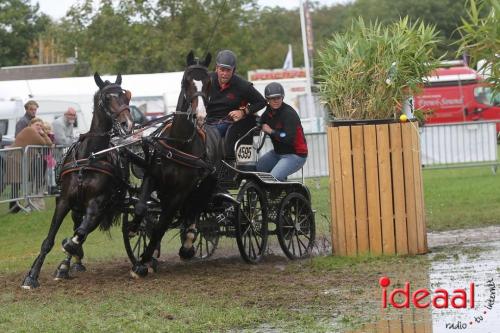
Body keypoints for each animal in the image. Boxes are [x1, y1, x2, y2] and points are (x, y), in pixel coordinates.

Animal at [21, 72, 133, 288]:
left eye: (125, 96)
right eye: (107, 98)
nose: (128, 124)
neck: (90, 156)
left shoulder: (96, 203)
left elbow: (80, 234)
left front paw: (69, 249)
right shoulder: (64, 201)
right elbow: (49, 240)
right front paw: (32, 276)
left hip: (100, 207)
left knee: (83, 230)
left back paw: (68, 262)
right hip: (76, 208)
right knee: (77, 226)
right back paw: (69, 264)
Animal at [129, 51, 223, 274]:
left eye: (208, 82)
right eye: (186, 81)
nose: (200, 115)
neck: (178, 144)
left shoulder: (180, 193)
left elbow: (163, 224)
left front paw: (144, 260)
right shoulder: (152, 177)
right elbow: (141, 207)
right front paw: (135, 229)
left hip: (205, 185)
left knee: (195, 211)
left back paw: (187, 245)